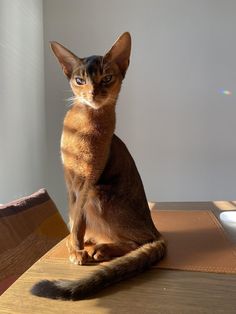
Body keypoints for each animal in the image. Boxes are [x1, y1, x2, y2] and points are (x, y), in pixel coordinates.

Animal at [30, 32, 166, 302]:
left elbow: (78, 220)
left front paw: (77, 250)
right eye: (80, 80)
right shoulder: (69, 180)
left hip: (101, 192)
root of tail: (156, 229)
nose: (93, 93)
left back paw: (102, 249)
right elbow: (73, 216)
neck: (84, 123)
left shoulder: (88, 180)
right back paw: (93, 242)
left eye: (107, 78)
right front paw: (73, 244)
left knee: (139, 242)